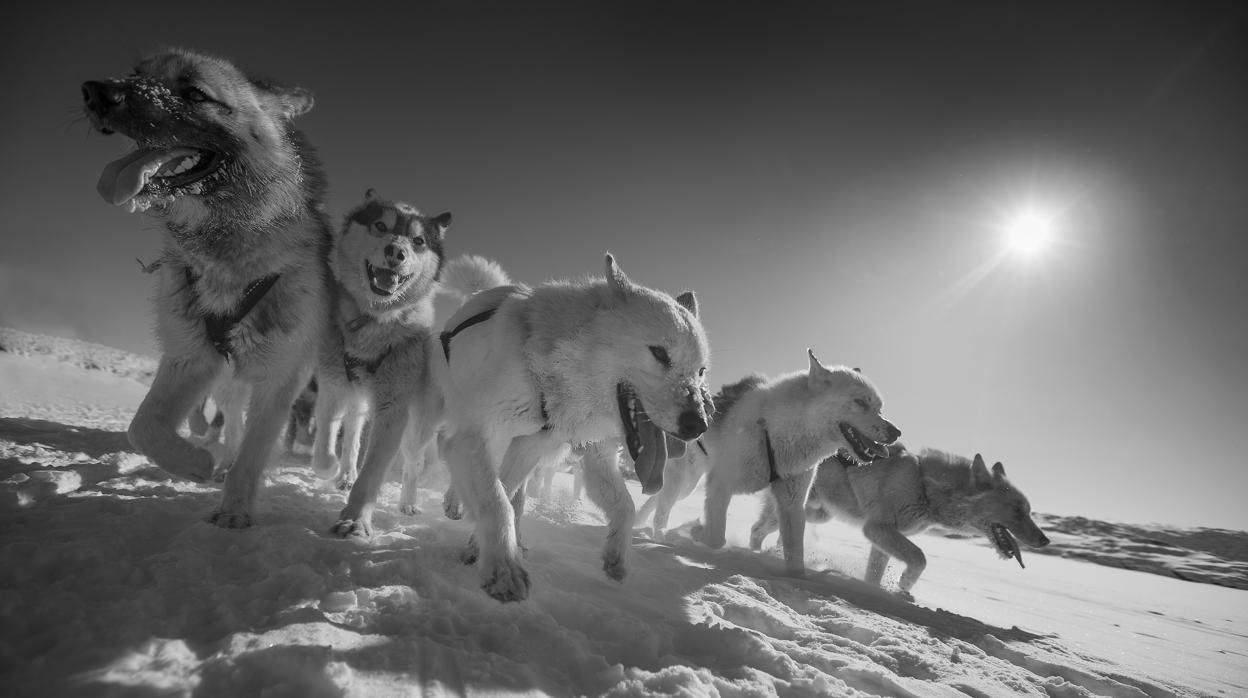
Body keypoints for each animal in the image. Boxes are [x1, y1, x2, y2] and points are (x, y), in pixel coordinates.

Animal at [85, 49, 334, 526]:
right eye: (137, 74)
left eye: (196, 93)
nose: (97, 91)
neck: (227, 251)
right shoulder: (191, 356)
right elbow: (142, 426)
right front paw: (197, 463)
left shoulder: (280, 379)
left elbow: (254, 454)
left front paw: (234, 512)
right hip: (228, 382)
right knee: (231, 424)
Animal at [436, 253, 713, 604]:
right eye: (660, 353)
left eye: (700, 371)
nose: (699, 425)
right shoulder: (474, 435)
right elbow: (495, 502)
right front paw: (503, 570)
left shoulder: (570, 452)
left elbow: (625, 506)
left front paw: (616, 557)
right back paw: (455, 504)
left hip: (522, 451)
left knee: (513, 494)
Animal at [688, 352, 903, 576]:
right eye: (860, 402)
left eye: (880, 408)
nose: (896, 432)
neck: (776, 431)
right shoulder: (720, 484)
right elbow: (716, 539)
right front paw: (696, 532)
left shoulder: (793, 504)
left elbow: (795, 561)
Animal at [753, 447, 1048, 594]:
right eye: (1018, 509)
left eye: (1029, 510)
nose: (1045, 540)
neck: (925, 486)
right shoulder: (878, 529)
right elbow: (919, 558)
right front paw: (904, 585)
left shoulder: (880, 537)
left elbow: (874, 574)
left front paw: (874, 592)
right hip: (797, 508)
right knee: (758, 529)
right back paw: (754, 555)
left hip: (816, 514)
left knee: (771, 531)